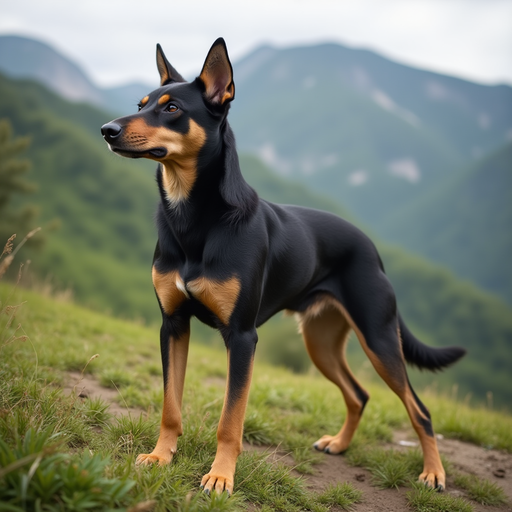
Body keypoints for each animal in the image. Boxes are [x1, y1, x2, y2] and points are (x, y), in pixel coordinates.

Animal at [100, 38, 464, 494]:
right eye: (142, 104)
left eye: (172, 109)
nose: (106, 130)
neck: (194, 216)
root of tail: (372, 249)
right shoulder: (173, 324)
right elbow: (171, 405)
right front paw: (160, 456)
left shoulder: (242, 337)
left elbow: (230, 420)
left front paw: (221, 476)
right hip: (321, 341)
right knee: (359, 394)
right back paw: (340, 444)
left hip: (378, 338)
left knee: (420, 410)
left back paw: (433, 473)